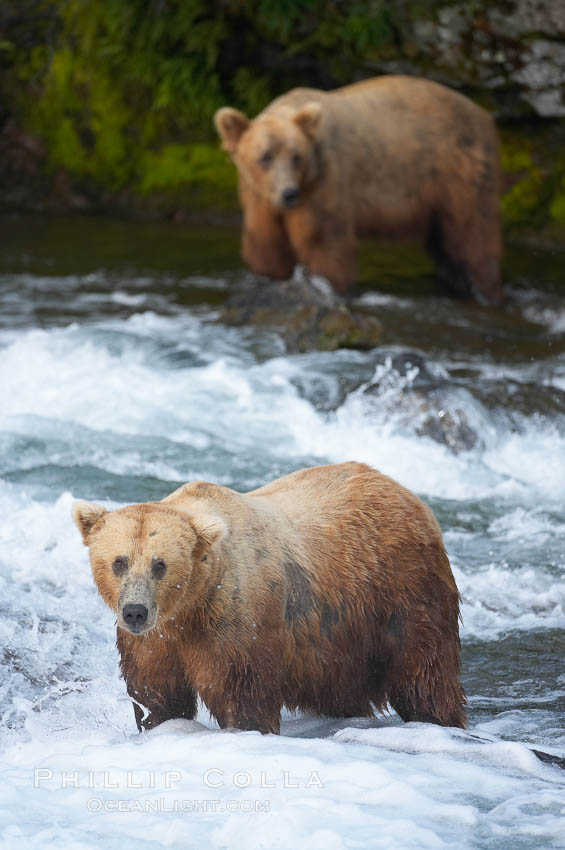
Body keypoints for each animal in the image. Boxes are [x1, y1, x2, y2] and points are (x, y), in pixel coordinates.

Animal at [71, 460, 468, 732]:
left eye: (160, 564)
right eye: (119, 561)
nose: (135, 612)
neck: (188, 611)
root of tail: (407, 495)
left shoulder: (236, 623)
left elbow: (243, 695)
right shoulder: (154, 643)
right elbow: (157, 696)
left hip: (403, 590)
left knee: (425, 673)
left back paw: (437, 718)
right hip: (339, 642)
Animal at [216, 73, 502, 304]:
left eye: (297, 156)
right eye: (265, 156)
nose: (289, 194)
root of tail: (485, 115)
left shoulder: (324, 183)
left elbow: (324, 240)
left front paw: (326, 286)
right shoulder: (258, 198)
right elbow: (267, 243)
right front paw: (268, 278)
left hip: (459, 171)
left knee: (473, 234)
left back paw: (485, 289)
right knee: (446, 244)